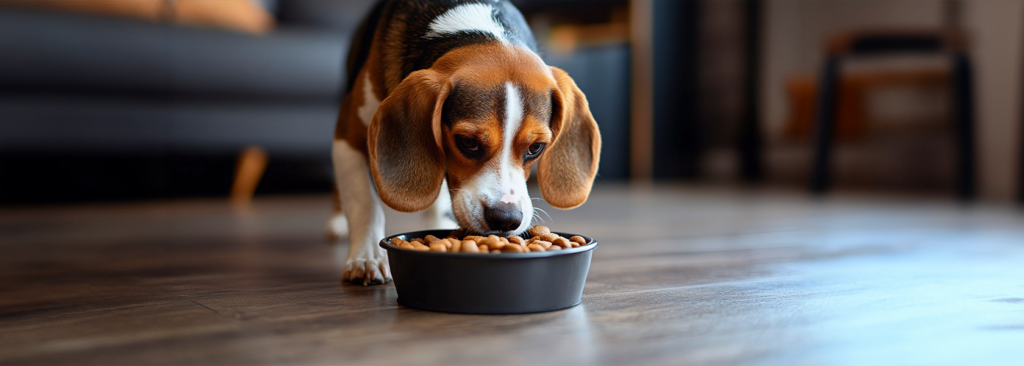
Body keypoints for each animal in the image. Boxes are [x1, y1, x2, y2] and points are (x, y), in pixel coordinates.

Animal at [327, 0, 598, 282]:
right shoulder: (346, 137)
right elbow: (364, 203)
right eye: (467, 142)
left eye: (536, 148)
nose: (505, 219)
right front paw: (367, 256)